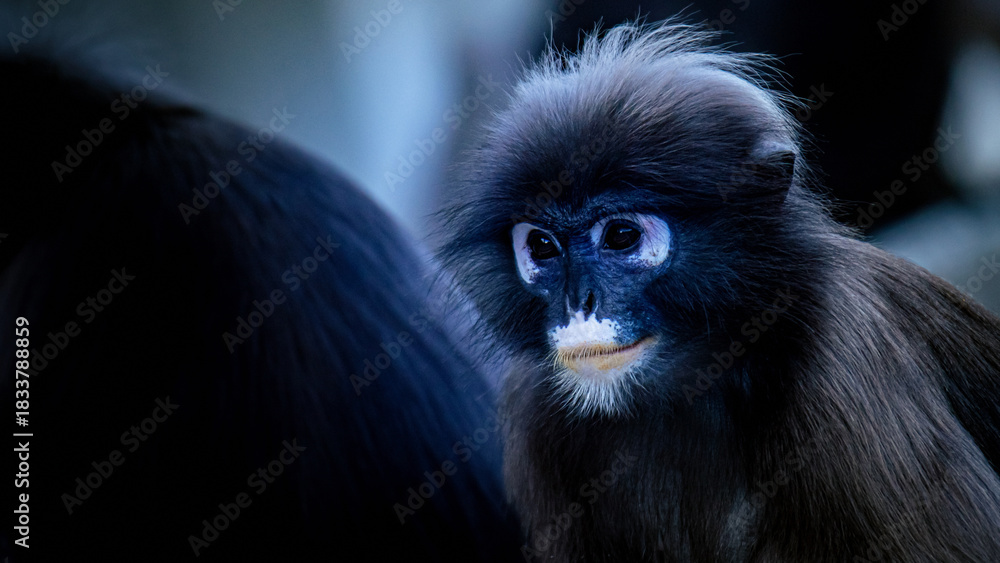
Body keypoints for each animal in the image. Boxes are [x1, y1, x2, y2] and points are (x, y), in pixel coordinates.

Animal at [439, 22, 1000, 562]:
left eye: (621, 235)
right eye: (542, 245)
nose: (579, 304)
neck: (698, 380)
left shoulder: (845, 352)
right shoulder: (535, 402)